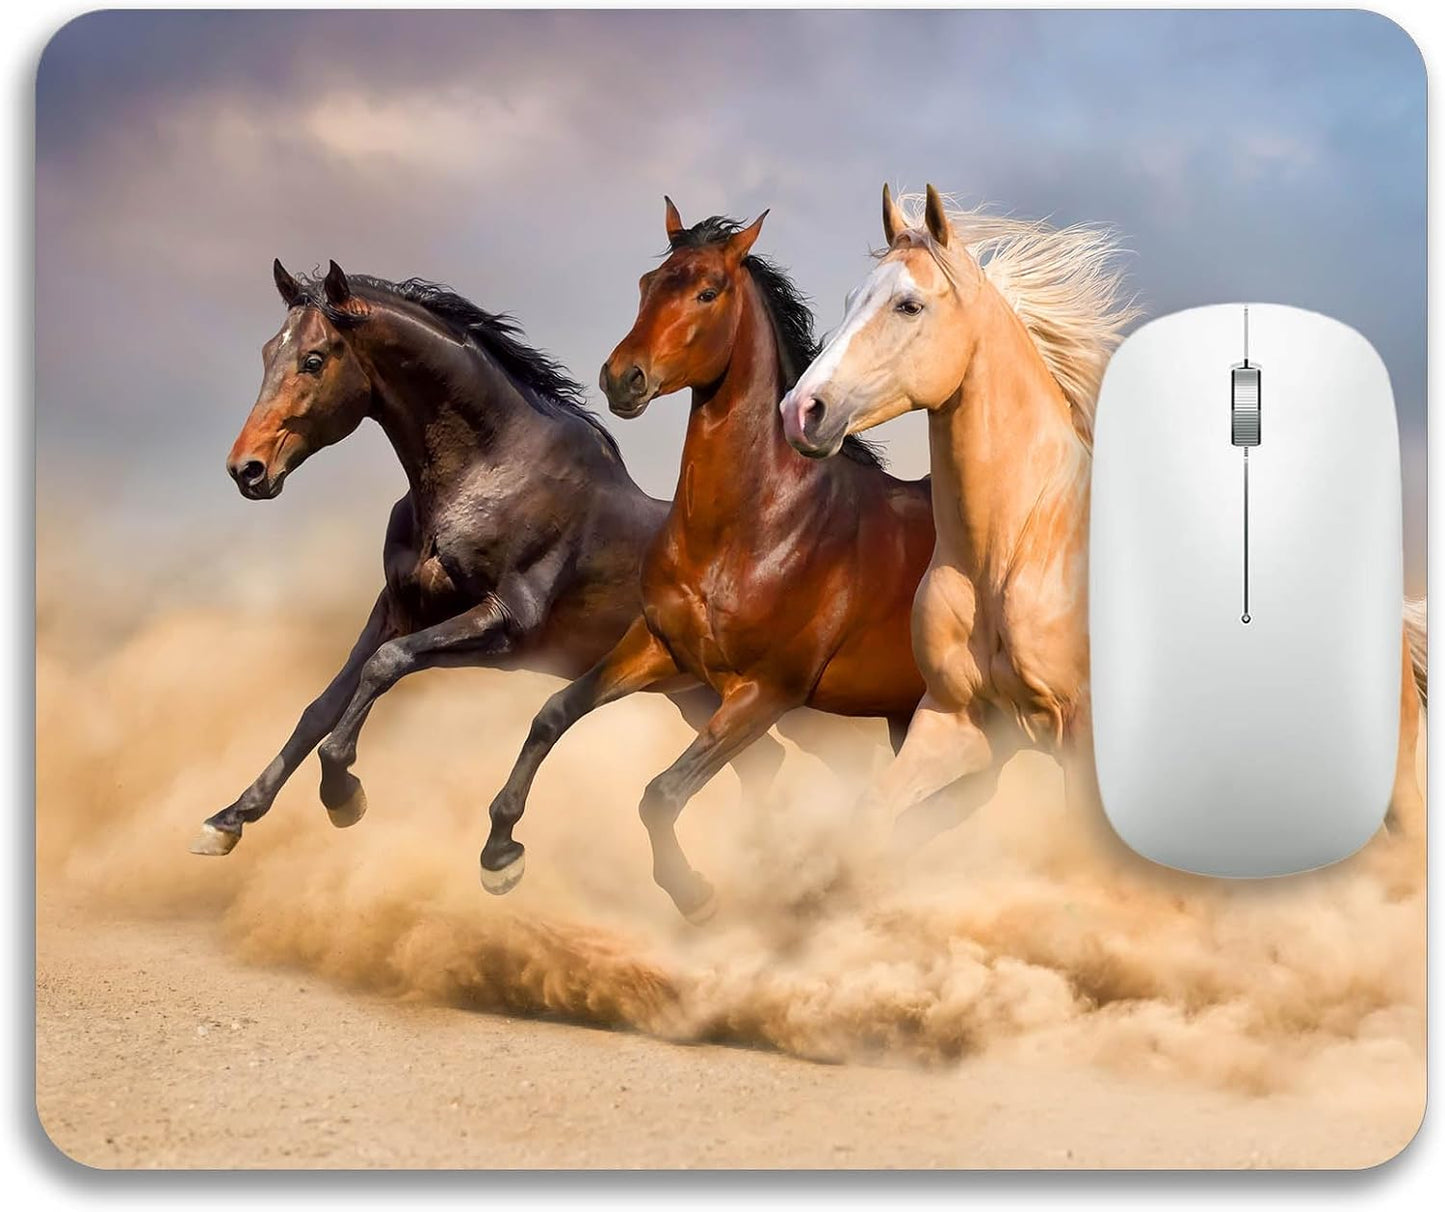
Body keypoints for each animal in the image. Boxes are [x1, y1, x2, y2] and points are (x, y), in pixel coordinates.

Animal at [191, 258, 789, 856]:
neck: (487, 473)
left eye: (313, 360)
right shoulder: (399, 608)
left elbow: (387, 665)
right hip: (695, 696)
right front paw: (229, 819)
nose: (247, 469)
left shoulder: (503, 625)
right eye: (267, 353)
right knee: (763, 760)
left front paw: (342, 793)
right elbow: (322, 705)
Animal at [479, 200, 937, 921]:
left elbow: (661, 793)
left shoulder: (764, 693)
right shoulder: (661, 649)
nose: (623, 378)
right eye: (647, 283)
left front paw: (693, 892)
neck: (753, 530)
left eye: (707, 291)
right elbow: (553, 713)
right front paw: (500, 854)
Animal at [780, 183, 1427, 840]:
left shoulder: (1081, 740)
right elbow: (871, 816)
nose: (801, 411)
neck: (1011, 550)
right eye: (852, 299)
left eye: (908, 306)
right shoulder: (956, 722)